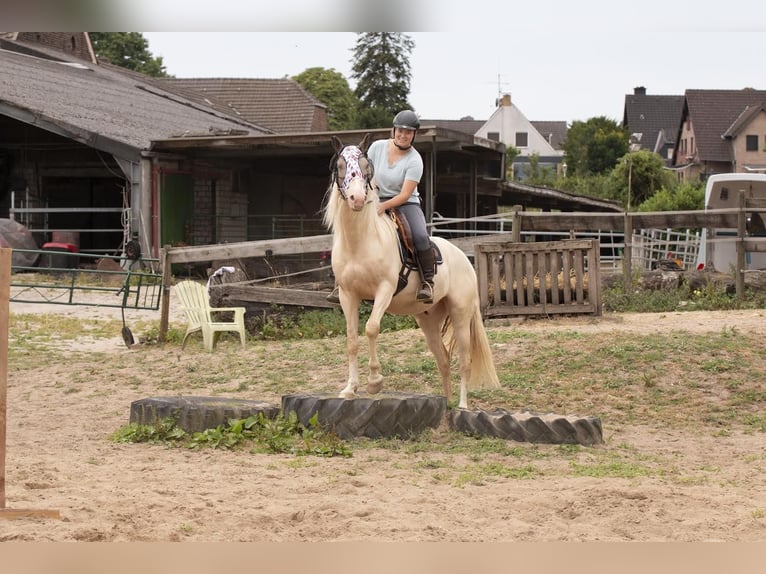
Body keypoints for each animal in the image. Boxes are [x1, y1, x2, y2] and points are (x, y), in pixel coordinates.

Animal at [320, 134, 500, 410]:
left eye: (366, 166)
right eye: (339, 166)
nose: (357, 199)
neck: (361, 240)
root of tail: (464, 259)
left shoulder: (384, 289)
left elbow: (371, 328)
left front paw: (375, 382)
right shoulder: (347, 295)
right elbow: (351, 339)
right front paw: (350, 389)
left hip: (461, 314)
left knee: (464, 361)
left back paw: (461, 405)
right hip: (428, 320)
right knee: (443, 359)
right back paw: (446, 404)